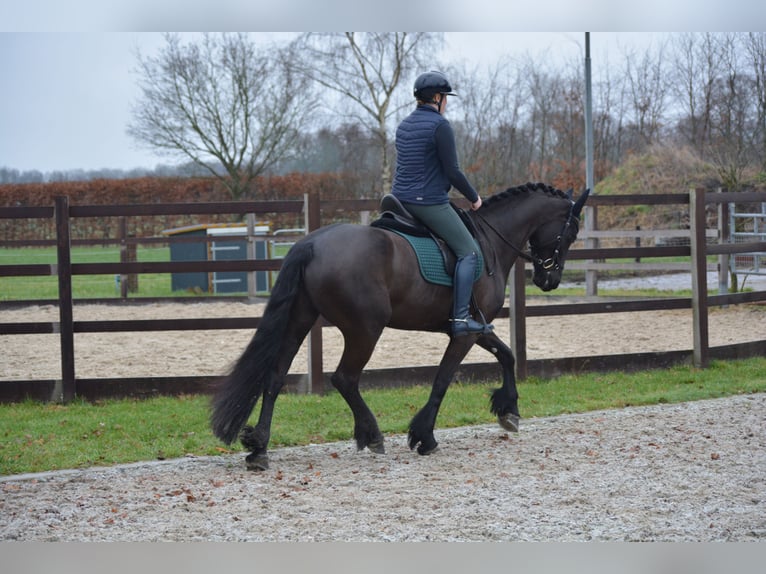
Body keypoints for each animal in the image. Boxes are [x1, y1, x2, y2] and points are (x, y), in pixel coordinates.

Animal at [212, 182, 592, 470]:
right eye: (571, 232)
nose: (549, 280)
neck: (490, 242)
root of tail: (311, 243)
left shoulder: (474, 328)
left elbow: (507, 355)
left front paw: (509, 410)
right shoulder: (465, 332)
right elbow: (442, 380)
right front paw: (424, 436)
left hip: (300, 321)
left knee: (275, 377)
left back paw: (260, 448)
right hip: (365, 330)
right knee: (344, 379)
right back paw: (372, 435)